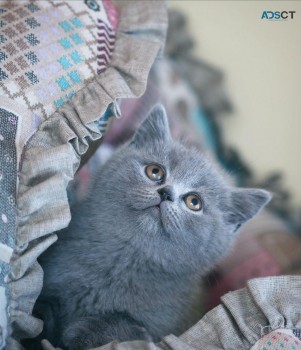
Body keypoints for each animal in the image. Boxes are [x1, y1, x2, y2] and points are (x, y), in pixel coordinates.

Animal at [32, 105, 270, 348]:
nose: (166, 193)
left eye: (194, 202)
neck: (122, 260)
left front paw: (83, 331)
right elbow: (42, 309)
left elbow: (128, 329)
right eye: (155, 171)